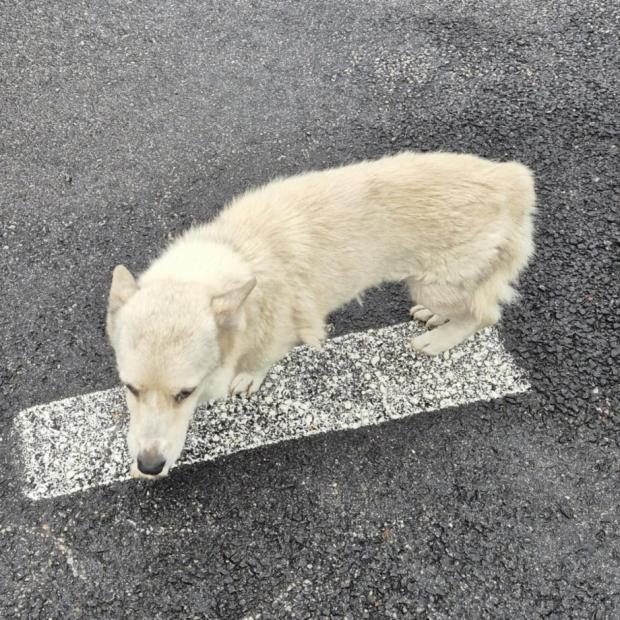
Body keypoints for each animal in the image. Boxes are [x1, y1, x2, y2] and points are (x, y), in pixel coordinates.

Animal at [105, 151, 532, 480]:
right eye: (130, 388)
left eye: (185, 393)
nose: (149, 467)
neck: (236, 253)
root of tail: (514, 180)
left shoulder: (275, 336)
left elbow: (258, 363)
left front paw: (247, 377)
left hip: (434, 284)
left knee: (483, 313)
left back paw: (438, 339)